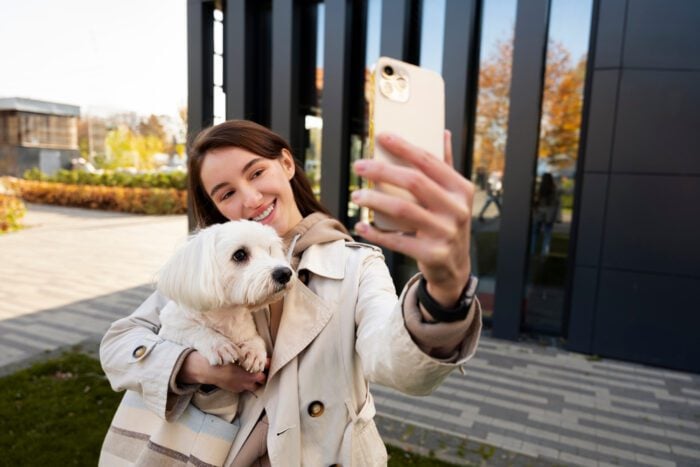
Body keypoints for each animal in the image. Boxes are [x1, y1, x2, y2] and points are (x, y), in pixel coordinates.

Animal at [156, 219, 292, 376]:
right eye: (239, 254)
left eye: (270, 250)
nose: (285, 273)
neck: (227, 314)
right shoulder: (170, 328)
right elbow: (191, 328)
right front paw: (218, 344)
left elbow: (254, 337)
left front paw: (254, 350)